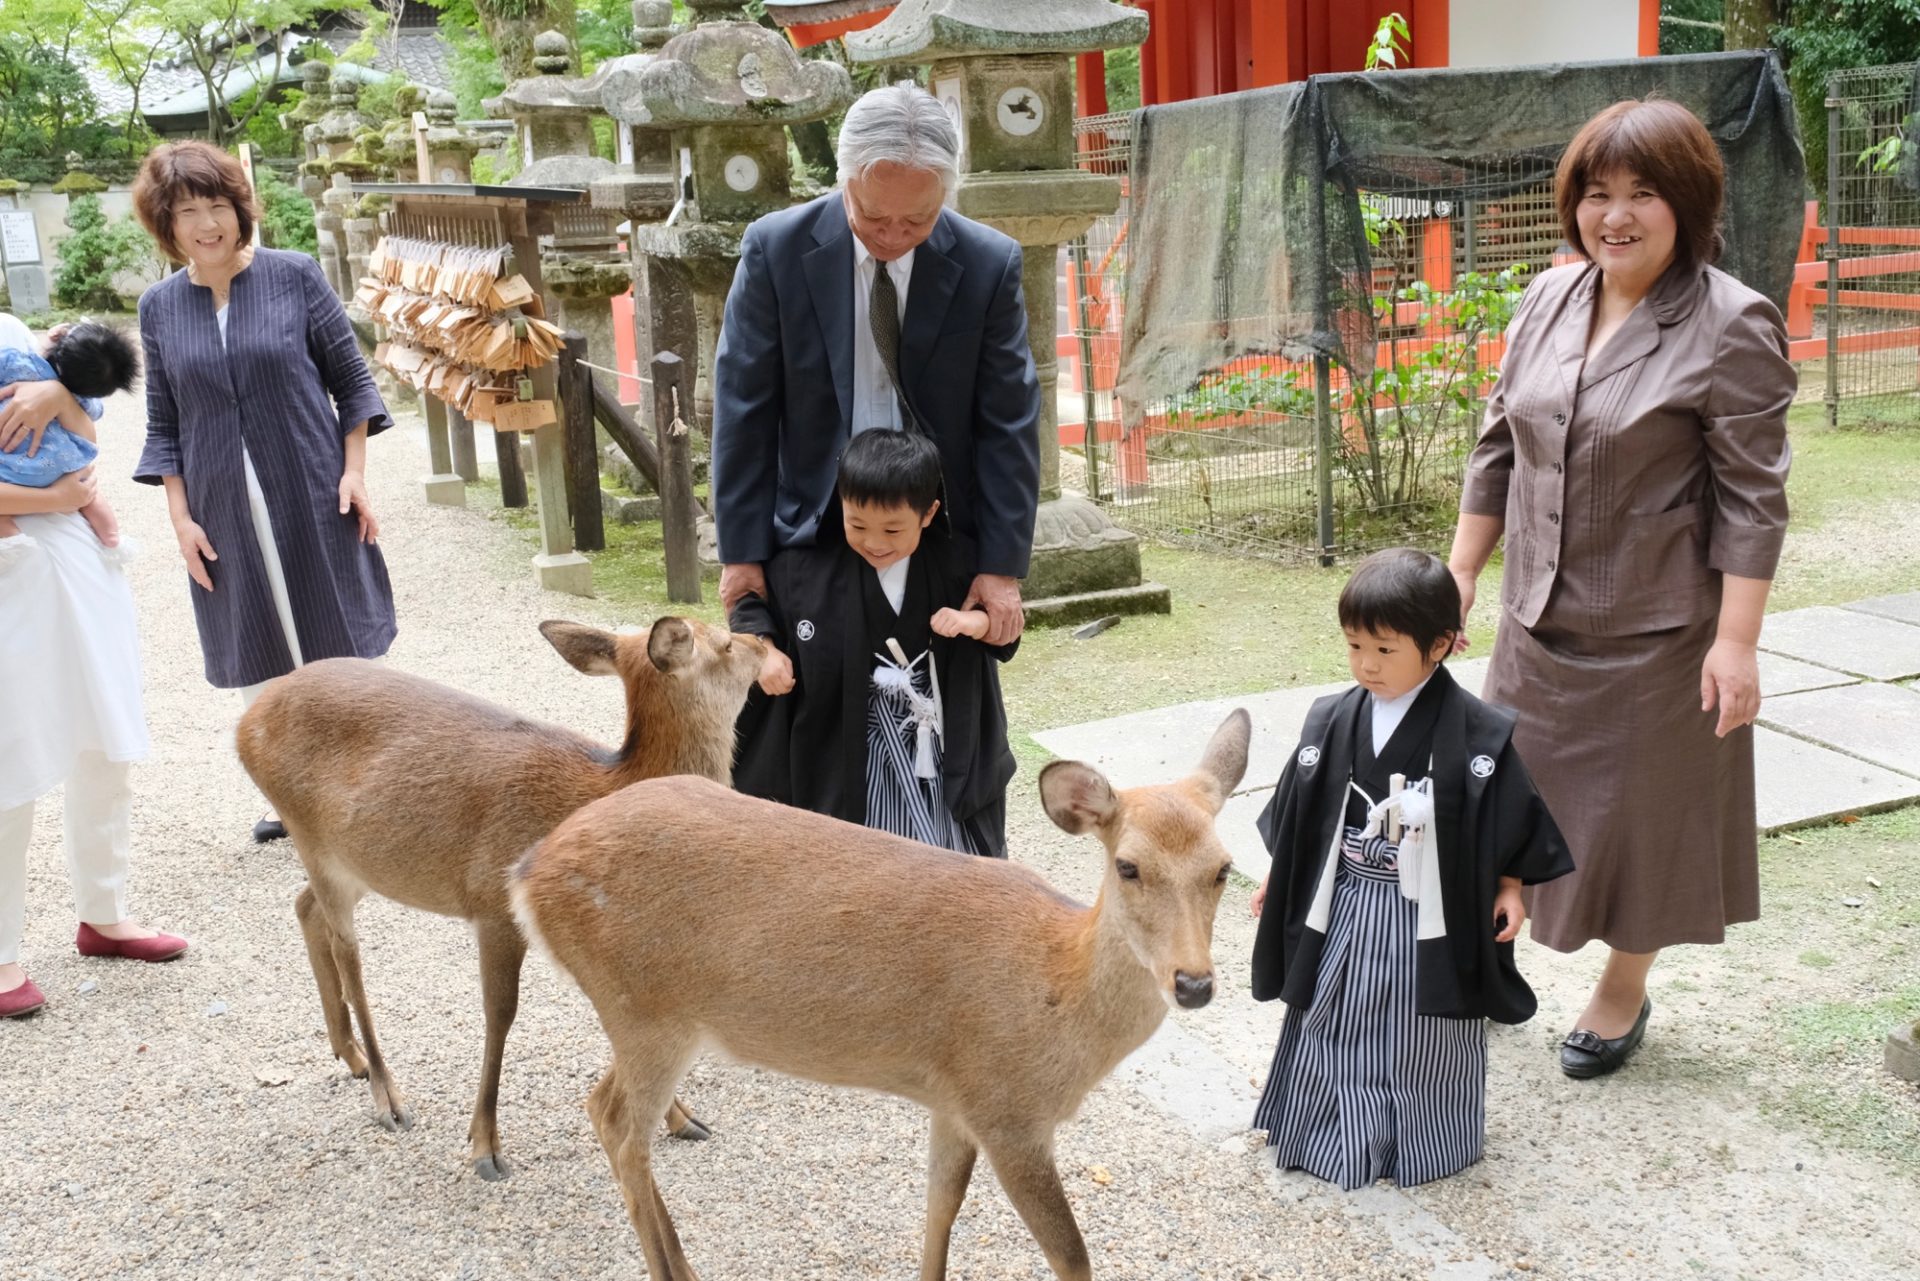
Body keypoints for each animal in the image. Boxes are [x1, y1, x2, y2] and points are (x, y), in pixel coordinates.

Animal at [232, 618, 756, 1183]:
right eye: (726, 642)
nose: (767, 644)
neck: (596, 786)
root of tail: (245, 723)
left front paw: (684, 1119)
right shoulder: (492, 906)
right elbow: (500, 1014)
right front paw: (485, 1146)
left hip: (353, 861)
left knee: (305, 907)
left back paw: (349, 1055)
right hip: (307, 833)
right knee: (347, 953)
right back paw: (388, 1096)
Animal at [510, 706, 1251, 1275]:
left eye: (1223, 867)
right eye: (1128, 865)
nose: (1192, 982)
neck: (1055, 993)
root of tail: (527, 873)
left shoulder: (954, 1099)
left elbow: (940, 1208)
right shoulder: (1007, 1109)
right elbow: (1072, 1255)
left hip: (652, 1018)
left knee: (602, 1105)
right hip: (643, 1010)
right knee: (618, 1126)